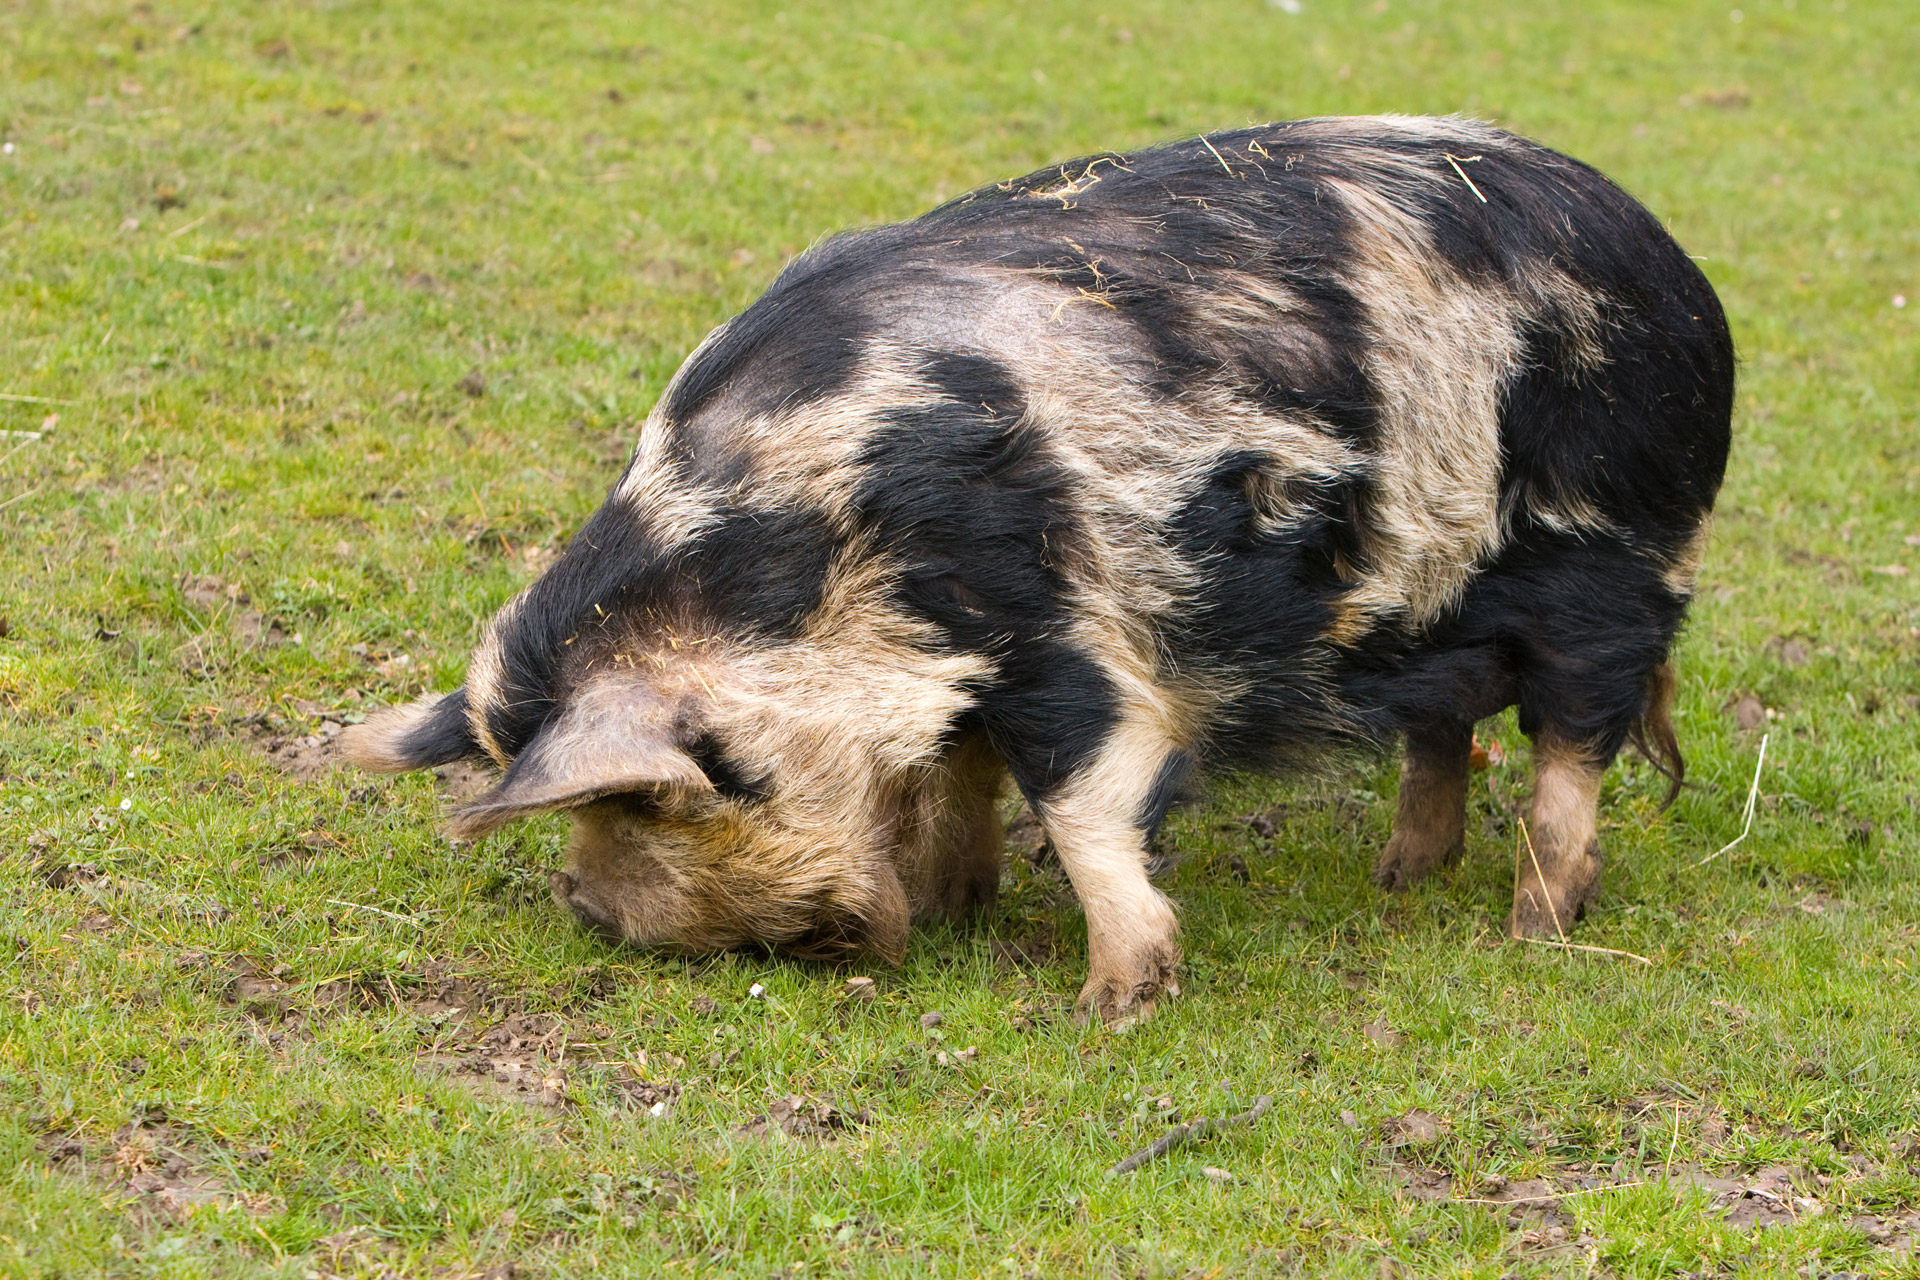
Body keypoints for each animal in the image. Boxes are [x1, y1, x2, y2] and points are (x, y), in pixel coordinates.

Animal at [337, 117, 1735, 1020]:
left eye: (677, 788)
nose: (587, 903)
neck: (811, 557)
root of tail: (1680, 271)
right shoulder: (959, 662)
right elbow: (962, 770)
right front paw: (956, 906)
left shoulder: (1061, 625)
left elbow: (1080, 790)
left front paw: (1113, 1003)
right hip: (1429, 613)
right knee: (1445, 725)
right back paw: (1401, 879)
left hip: (1611, 558)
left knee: (1575, 739)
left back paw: (1535, 924)